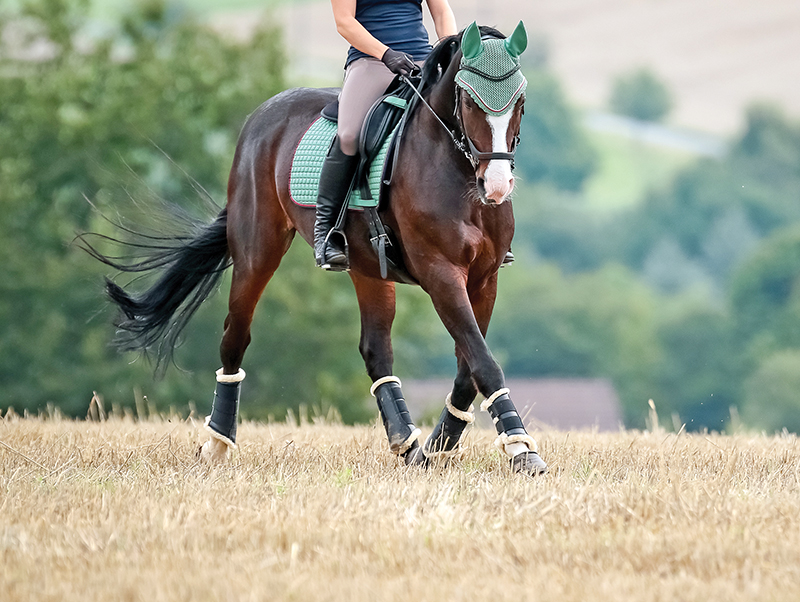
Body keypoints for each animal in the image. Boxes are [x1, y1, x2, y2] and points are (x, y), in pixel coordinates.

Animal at [82, 22, 548, 475]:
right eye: (468, 101)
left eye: (521, 102)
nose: (497, 186)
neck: (457, 173)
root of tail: (262, 114)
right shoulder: (441, 274)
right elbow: (482, 360)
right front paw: (522, 449)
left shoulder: (485, 278)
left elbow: (470, 367)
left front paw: (440, 448)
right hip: (257, 251)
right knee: (235, 336)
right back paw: (217, 443)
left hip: (368, 268)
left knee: (376, 350)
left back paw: (407, 445)